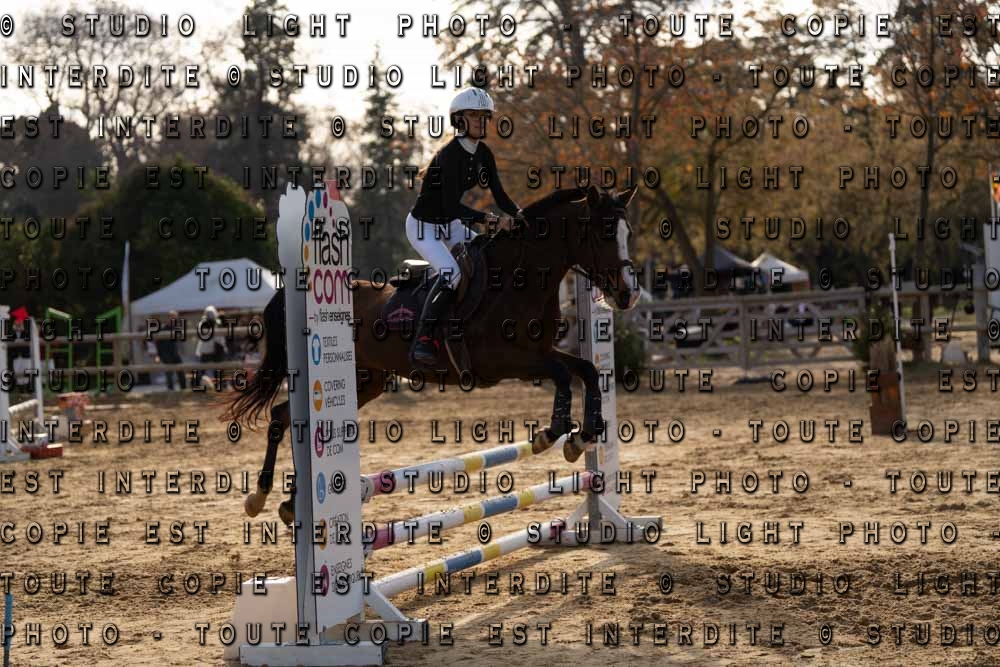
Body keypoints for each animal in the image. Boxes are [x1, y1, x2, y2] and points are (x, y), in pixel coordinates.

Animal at [224, 184, 641, 523]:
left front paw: (583, 436)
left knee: (284, 415)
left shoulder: (538, 351)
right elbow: (561, 374)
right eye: (604, 233)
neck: (519, 277)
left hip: (367, 381)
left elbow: (586, 369)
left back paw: (281, 503)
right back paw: (261, 498)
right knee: (287, 418)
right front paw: (552, 433)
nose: (628, 294)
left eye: (628, 233)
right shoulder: (501, 361)